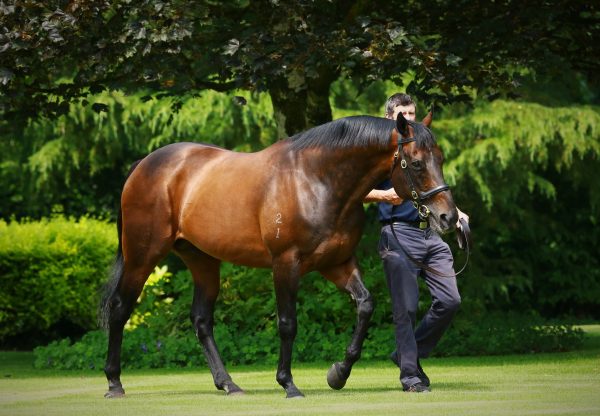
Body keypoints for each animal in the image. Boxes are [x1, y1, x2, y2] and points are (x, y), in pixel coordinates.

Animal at [99, 112, 454, 398]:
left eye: (440, 158)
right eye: (417, 163)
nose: (447, 217)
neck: (316, 180)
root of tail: (144, 165)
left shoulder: (336, 263)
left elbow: (365, 305)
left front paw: (338, 373)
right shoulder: (285, 264)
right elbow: (287, 323)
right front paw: (288, 383)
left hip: (202, 261)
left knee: (201, 320)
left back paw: (228, 384)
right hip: (142, 256)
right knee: (120, 309)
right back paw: (115, 383)